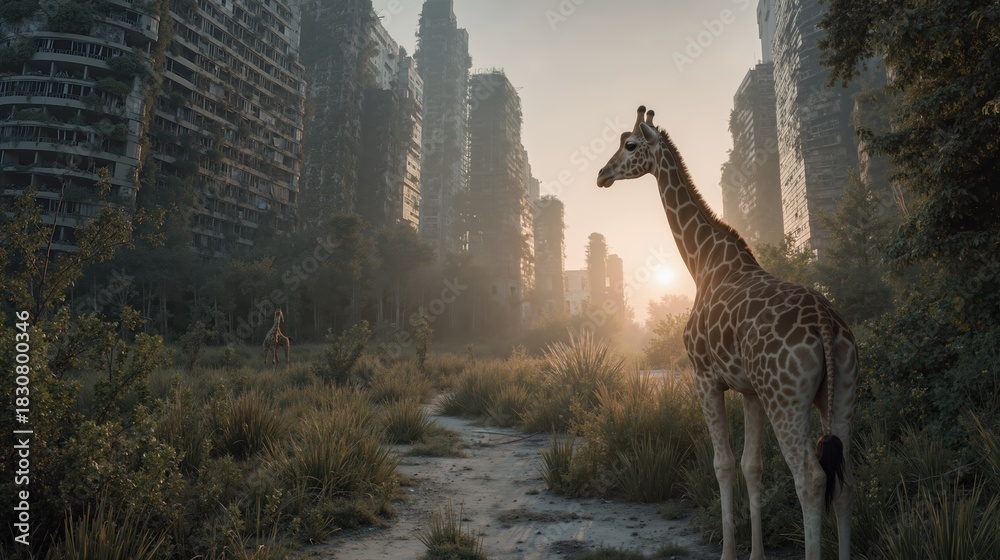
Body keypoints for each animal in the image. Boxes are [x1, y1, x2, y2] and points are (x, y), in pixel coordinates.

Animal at [597, 106, 857, 560]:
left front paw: (728, 552)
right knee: (843, 480)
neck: (703, 262)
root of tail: (826, 324)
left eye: (629, 144)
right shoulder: (750, 390)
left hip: (786, 397)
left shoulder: (705, 377)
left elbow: (721, 464)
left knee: (811, 479)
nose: (602, 174)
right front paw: (756, 554)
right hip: (841, 390)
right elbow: (751, 466)